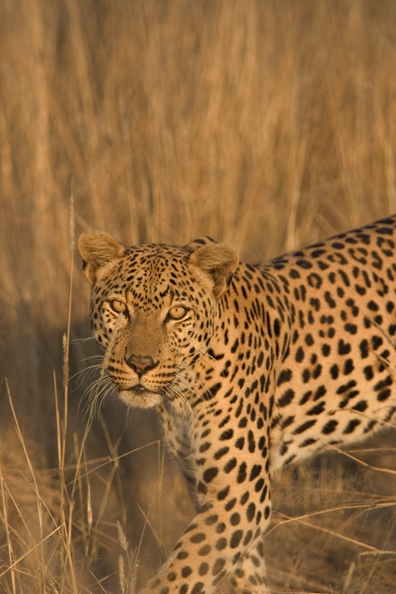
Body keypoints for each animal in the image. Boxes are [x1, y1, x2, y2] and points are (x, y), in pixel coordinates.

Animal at [78, 215, 396, 592]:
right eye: (119, 308)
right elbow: (239, 571)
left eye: (178, 313)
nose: (140, 364)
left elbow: (179, 575)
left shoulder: (241, 496)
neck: (183, 394)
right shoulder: (207, 489)